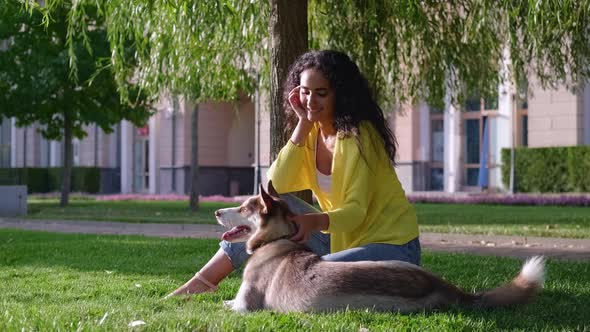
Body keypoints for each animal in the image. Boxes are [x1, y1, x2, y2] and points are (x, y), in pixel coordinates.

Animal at [215, 182, 548, 314]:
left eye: (244, 207)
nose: (217, 212)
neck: (275, 240)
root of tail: (443, 286)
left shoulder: (245, 306)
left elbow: (225, 304)